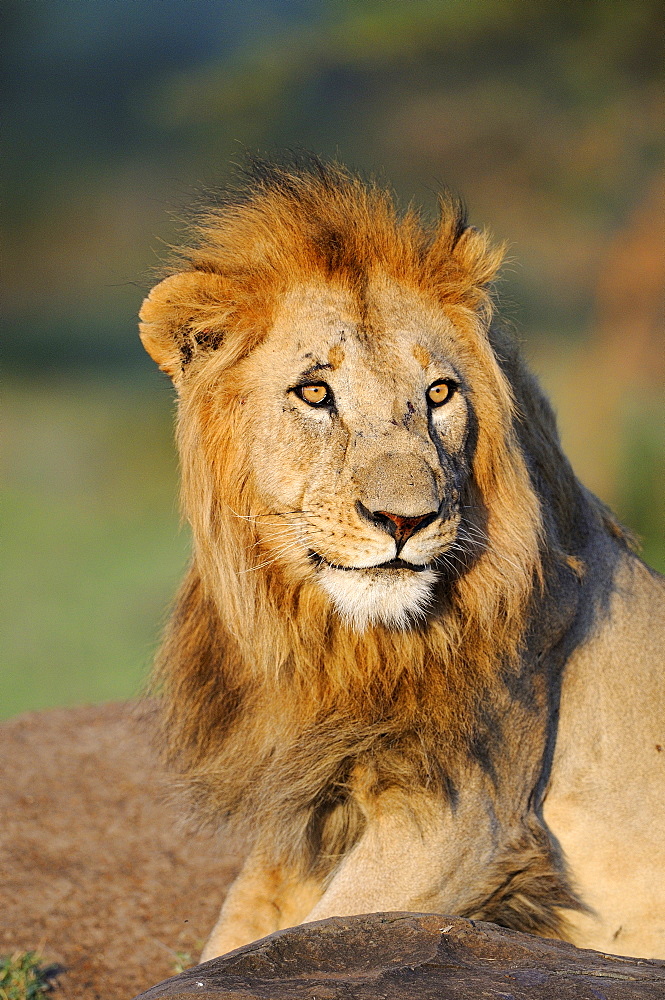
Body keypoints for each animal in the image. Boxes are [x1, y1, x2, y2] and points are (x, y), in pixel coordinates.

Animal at [140, 154, 664, 960]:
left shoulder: (466, 819)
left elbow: (319, 932)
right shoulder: (307, 801)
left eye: (439, 392)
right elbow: (234, 937)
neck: (341, 647)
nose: (404, 520)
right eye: (315, 392)